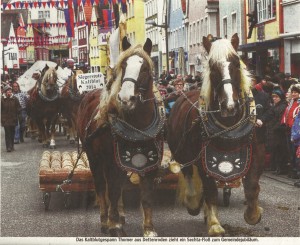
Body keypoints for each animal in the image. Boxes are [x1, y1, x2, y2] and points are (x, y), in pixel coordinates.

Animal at [77, 37, 164, 236]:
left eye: (145, 68)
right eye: (123, 66)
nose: (125, 98)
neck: (137, 126)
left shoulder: (151, 162)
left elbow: (146, 195)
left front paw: (149, 229)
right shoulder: (111, 162)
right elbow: (113, 191)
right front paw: (114, 225)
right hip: (94, 157)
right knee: (102, 187)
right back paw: (105, 220)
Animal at [168, 33, 264, 236]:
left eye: (236, 63)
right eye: (212, 67)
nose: (230, 106)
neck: (228, 126)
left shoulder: (256, 153)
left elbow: (252, 186)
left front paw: (253, 214)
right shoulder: (204, 160)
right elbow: (210, 190)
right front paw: (214, 224)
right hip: (182, 154)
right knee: (189, 175)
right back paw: (194, 204)